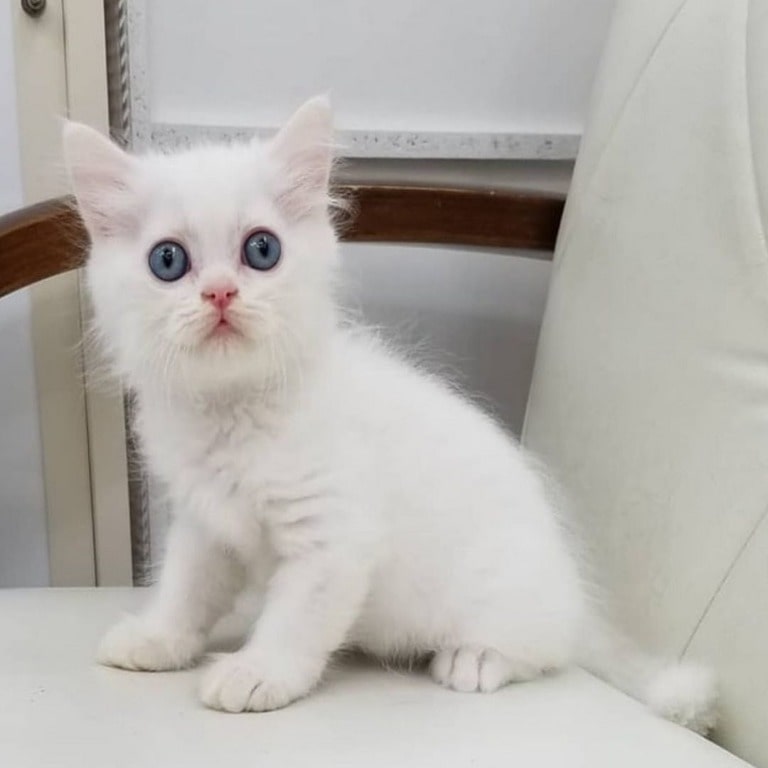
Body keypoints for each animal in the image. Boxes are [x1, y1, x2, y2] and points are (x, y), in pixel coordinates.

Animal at [63, 96, 716, 732]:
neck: (234, 413)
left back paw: (477, 657)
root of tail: (578, 599)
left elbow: (296, 619)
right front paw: (158, 637)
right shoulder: (206, 524)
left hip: (508, 595)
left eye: (261, 250)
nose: (220, 293)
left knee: (544, 650)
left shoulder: (332, 535)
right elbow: (186, 589)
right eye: (168, 261)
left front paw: (258, 671)